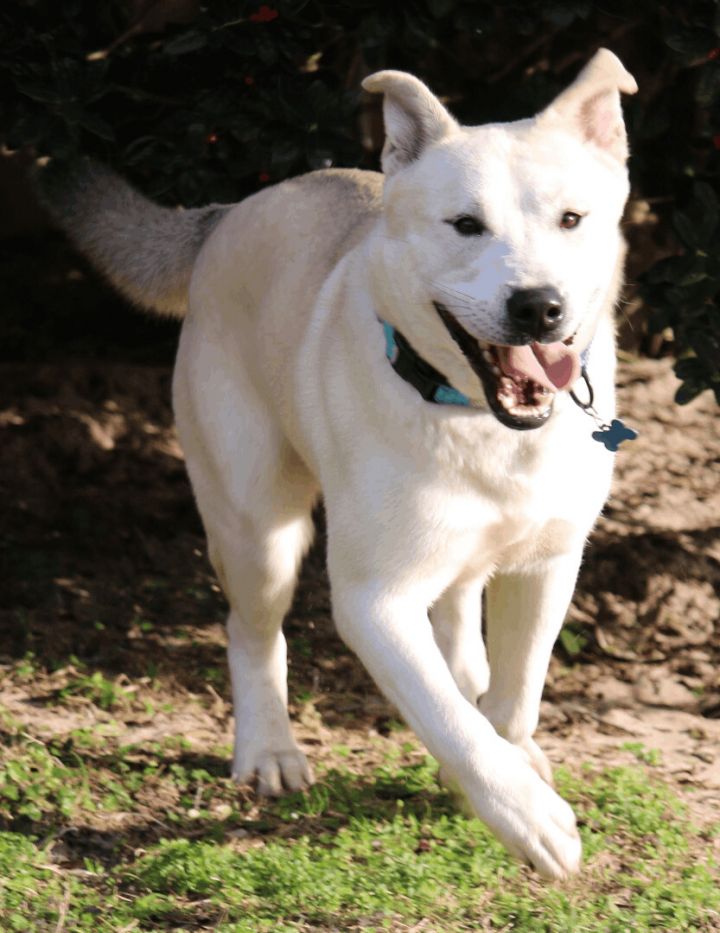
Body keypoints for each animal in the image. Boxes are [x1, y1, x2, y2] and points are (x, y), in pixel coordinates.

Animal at [43, 49, 636, 880]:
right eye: (465, 225)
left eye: (572, 220)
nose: (538, 306)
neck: (475, 416)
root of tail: (227, 212)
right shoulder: (371, 599)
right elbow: (445, 715)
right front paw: (523, 813)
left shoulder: (546, 561)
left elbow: (515, 693)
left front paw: (510, 760)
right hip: (258, 528)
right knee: (253, 631)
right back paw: (269, 748)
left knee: (459, 622)